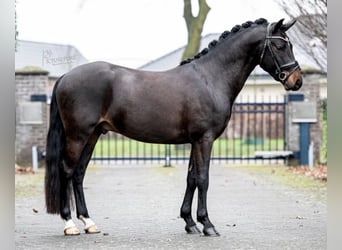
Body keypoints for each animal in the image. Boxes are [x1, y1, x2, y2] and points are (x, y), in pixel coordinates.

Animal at [44, 18, 302, 236]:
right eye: (280, 46)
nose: (296, 80)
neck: (210, 78)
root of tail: (65, 76)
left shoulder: (195, 141)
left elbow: (191, 178)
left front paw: (190, 223)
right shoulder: (205, 139)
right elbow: (203, 178)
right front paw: (208, 225)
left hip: (93, 135)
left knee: (79, 173)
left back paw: (89, 223)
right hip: (78, 135)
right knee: (67, 171)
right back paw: (69, 225)